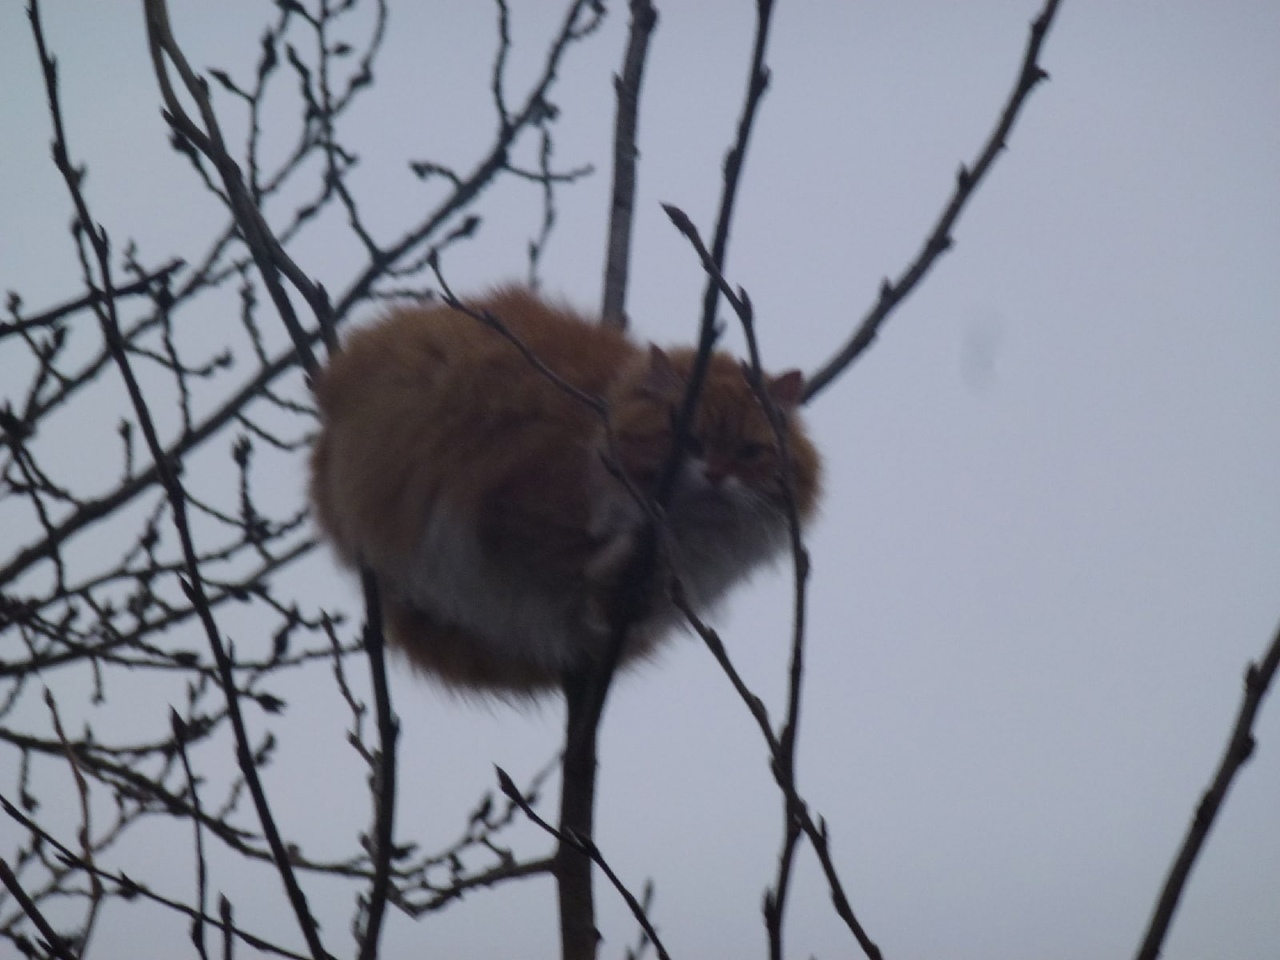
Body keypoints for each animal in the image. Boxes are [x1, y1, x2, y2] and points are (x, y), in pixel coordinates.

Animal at [307, 288, 819, 701]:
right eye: (689, 441)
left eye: (749, 452)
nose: (715, 474)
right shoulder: (516, 501)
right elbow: (569, 557)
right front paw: (609, 571)